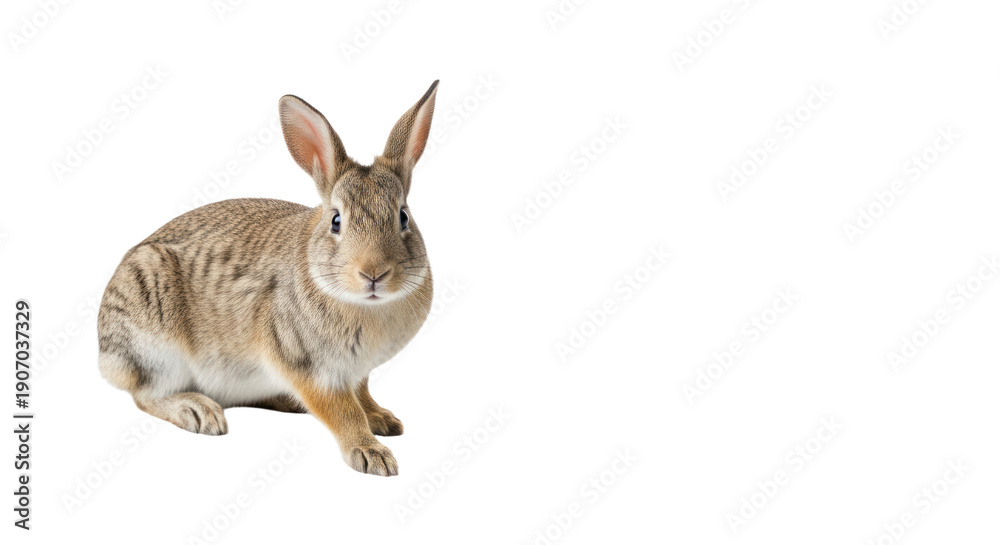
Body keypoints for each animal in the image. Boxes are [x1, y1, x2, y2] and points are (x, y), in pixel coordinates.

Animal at [97, 81, 440, 476]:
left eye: (403, 217)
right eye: (336, 221)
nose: (374, 273)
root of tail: (104, 354)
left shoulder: (357, 374)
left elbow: (362, 398)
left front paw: (383, 419)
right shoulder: (306, 366)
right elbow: (343, 411)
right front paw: (371, 454)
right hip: (154, 342)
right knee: (145, 395)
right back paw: (198, 411)